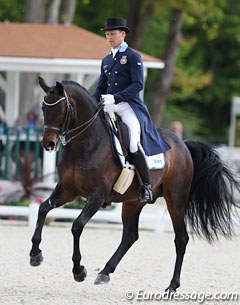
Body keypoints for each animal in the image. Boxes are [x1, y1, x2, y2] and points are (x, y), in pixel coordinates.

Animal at [30, 77, 240, 290]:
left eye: (60, 109)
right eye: (43, 108)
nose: (48, 144)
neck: (85, 143)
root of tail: (183, 145)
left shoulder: (97, 196)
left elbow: (77, 225)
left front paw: (78, 270)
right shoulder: (67, 190)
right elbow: (43, 209)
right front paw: (35, 255)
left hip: (176, 200)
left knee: (181, 238)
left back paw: (172, 285)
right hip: (133, 202)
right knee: (130, 235)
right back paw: (105, 272)